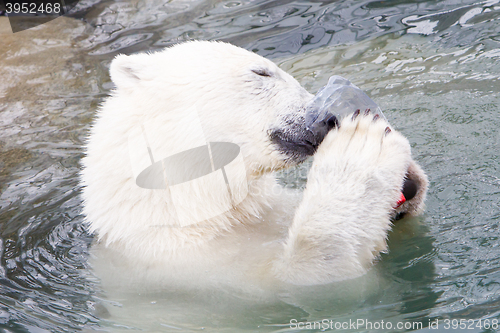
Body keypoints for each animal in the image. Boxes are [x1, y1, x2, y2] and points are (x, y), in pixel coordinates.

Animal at [81, 40, 426, 286]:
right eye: (261, 72)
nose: (325, 117)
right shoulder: (199, 267)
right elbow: (309, 273)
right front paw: (362, 147)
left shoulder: (268, 210)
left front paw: (408, 182)